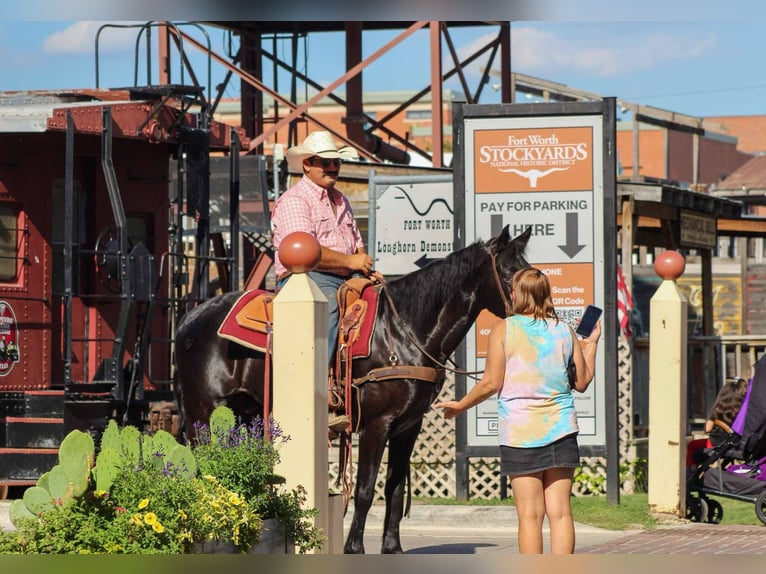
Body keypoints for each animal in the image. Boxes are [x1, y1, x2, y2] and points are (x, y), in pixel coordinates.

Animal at [173, 224, 532, 553]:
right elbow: (365, 490)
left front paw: (392, 547)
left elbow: (394, 489)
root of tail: (189, 317)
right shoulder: (377, 424)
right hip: (204, 413)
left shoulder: (408, 426)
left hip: (244, 414)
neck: (403, 332)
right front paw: (354, 547)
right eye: (509, 273)